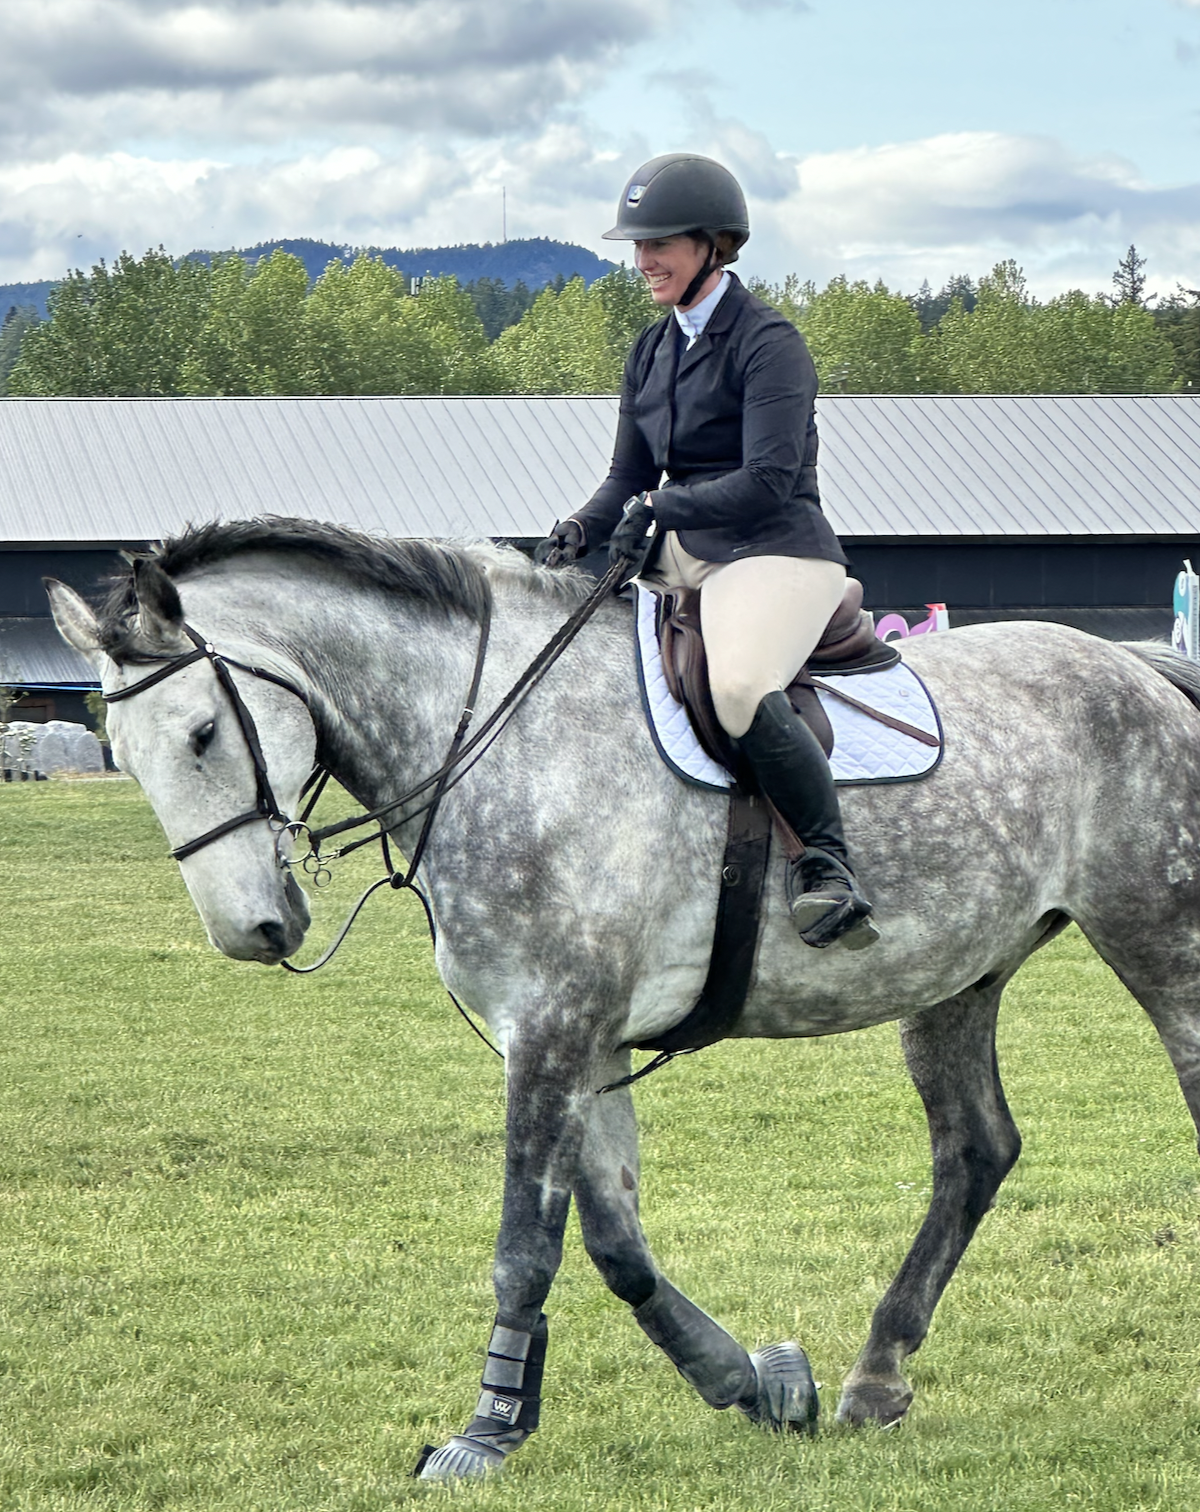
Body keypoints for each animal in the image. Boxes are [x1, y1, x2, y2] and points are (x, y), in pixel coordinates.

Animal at [47, 516, 1200, 1480]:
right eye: (123, 754)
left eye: (201, 733)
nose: (253, 931)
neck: (493, 734)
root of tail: (1138, 669)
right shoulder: (576, 1042)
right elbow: (616, 1243)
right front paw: (753, 1382)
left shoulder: (554, 1031)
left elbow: (525, 1247)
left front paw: (485, 1435)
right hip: (958, 974)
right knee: (975, 1150)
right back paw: (876, 1375)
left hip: (1162, 945)